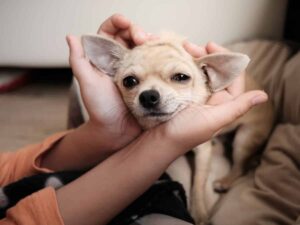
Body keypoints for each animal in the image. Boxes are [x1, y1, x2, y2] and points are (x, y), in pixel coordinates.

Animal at [80, 33, 274, 223]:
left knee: (241, 166)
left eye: (181, 77)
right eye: (129, 81)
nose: (148, 96)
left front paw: (199, 212)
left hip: (244, 138)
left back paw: (225, 181)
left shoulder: (203, 152)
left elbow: (199, 181)